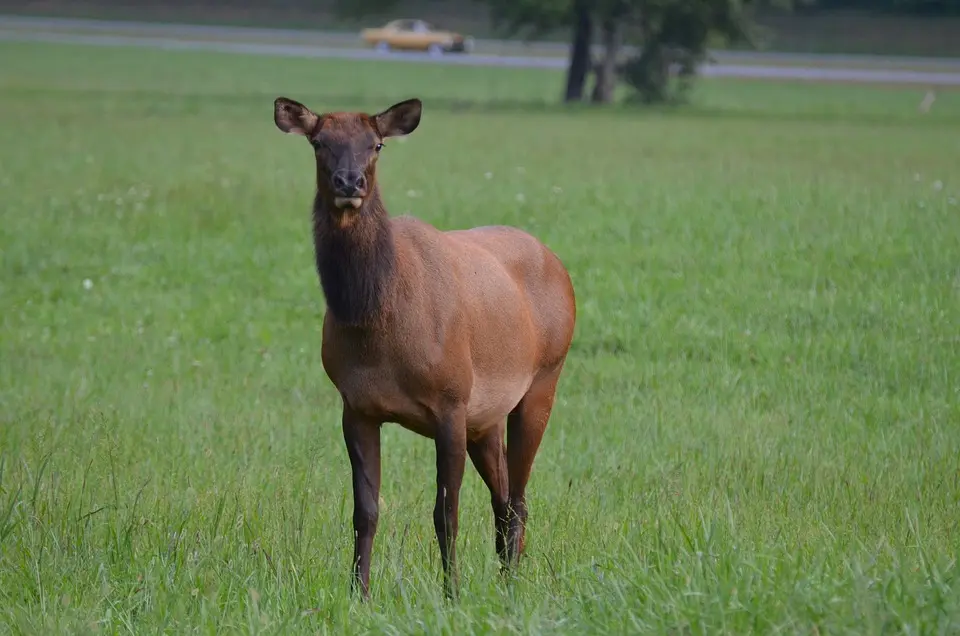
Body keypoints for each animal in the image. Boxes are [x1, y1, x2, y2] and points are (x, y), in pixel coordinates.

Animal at [274, 93, 576, 596]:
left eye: (376, 144)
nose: (349, 182)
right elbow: (365, 511)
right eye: (319, 142)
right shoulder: (356, 406)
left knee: (517, 498)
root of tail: (560, 266)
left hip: (543, 380)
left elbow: (446, 514)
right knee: (502, 496)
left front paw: (451, 593)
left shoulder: (451, 401)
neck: (378, 328)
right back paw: (504, 577)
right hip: (486, 417)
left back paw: (513, 584)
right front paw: (359, 594)